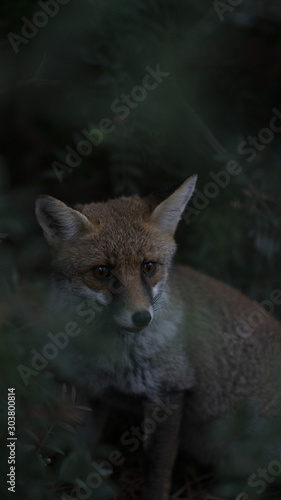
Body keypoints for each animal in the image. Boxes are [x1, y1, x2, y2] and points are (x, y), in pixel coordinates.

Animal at [34, 176, 280, 500]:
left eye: (148, 267)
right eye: (101, 271)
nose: (141, 318)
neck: (113, 358)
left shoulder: (170, 390)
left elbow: (157, 468)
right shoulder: (91, 389)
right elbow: (79, 450)